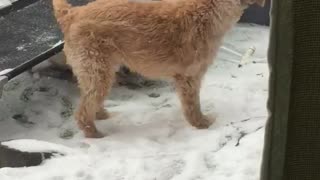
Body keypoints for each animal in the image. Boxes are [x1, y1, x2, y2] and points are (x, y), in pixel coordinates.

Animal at [51, 0, 264, 138]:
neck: (208, 10)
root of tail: (71, 14)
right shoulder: (189, 76)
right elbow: (192, 105)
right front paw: (201, 124)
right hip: (97, 70)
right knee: (83, 110)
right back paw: (94, 133)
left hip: (96, 72)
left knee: (89, 99)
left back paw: (101, 115)